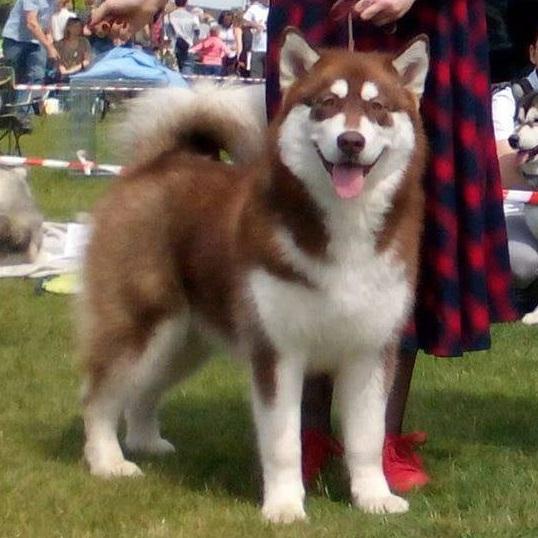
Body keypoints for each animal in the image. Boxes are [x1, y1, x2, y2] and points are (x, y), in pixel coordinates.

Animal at [78, 31, 428, 520]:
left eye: (378, 107)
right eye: (327, 104)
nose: (351, 141)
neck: (345, 226)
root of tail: (161, 162)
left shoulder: (371, 350)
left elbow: (367, 437)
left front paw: (373, 496)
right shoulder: (277, 351)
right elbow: (283, 442)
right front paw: (284, 506)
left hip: (184, 340)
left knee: (143, 390)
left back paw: (146, 442)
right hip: (142, 323)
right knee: (99, 395)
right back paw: (107, 460)